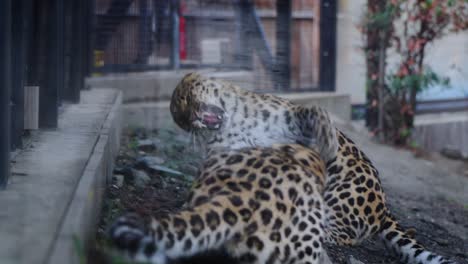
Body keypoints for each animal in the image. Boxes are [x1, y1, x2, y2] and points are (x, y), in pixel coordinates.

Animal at [168, 72, 458, 264]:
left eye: (185, 98)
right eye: (180, 118)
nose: (192, 120)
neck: (236, 120)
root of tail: (384, 208)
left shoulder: (290, 116)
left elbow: (315, 115)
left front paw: (327, 142)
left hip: (342, 193)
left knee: (344, 235)